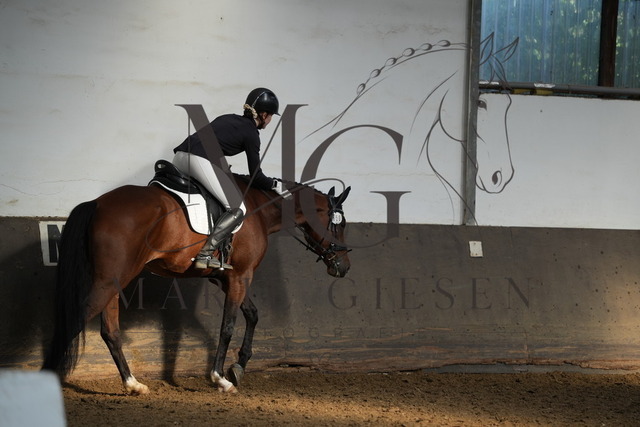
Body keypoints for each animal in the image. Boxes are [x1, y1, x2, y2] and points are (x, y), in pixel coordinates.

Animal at [41, 172, 351, 394]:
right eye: (340, 224)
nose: (344, 267)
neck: (259, 209)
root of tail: (97, 203)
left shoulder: (225, 278)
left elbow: (252, 314)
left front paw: (238, 366)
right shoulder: (240, 276)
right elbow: (228, 326)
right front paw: (220, 378)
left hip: (113, 283)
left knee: (110, 332)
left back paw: (133, 384)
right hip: (108, 282)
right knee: (77, 320)